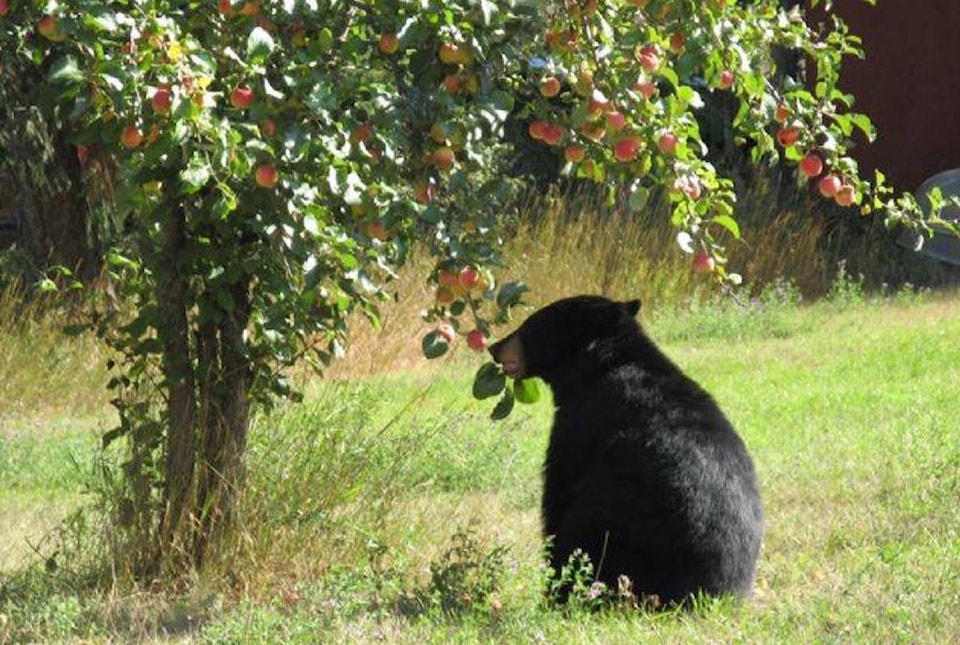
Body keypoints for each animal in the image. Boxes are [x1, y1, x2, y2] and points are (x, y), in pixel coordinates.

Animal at [492, 294, 760, 608]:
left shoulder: (580, 426)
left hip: (614, 524)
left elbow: (557, 496)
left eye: (530, 326)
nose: (493, 347)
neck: (602, 365)